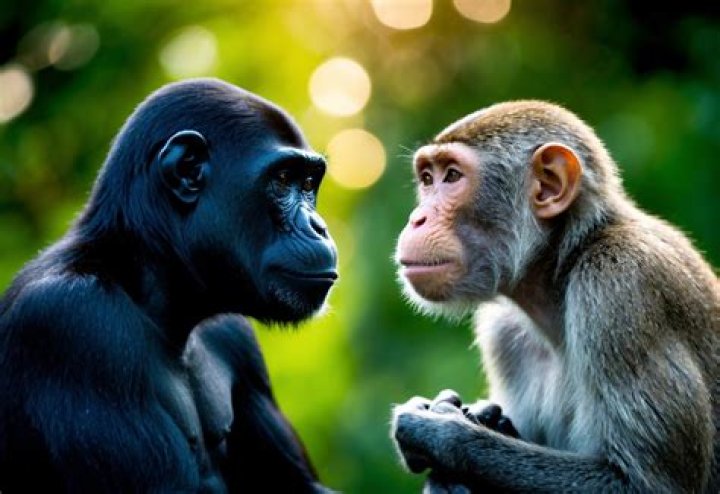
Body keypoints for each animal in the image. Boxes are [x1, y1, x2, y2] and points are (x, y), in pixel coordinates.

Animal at [389, 100, 719, 493]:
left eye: (452, 176)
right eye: (428, 179)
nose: (416, 219)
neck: (563, 264)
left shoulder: (622, 286)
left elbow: (647, 485)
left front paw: (441, 432)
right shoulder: (503, 330)